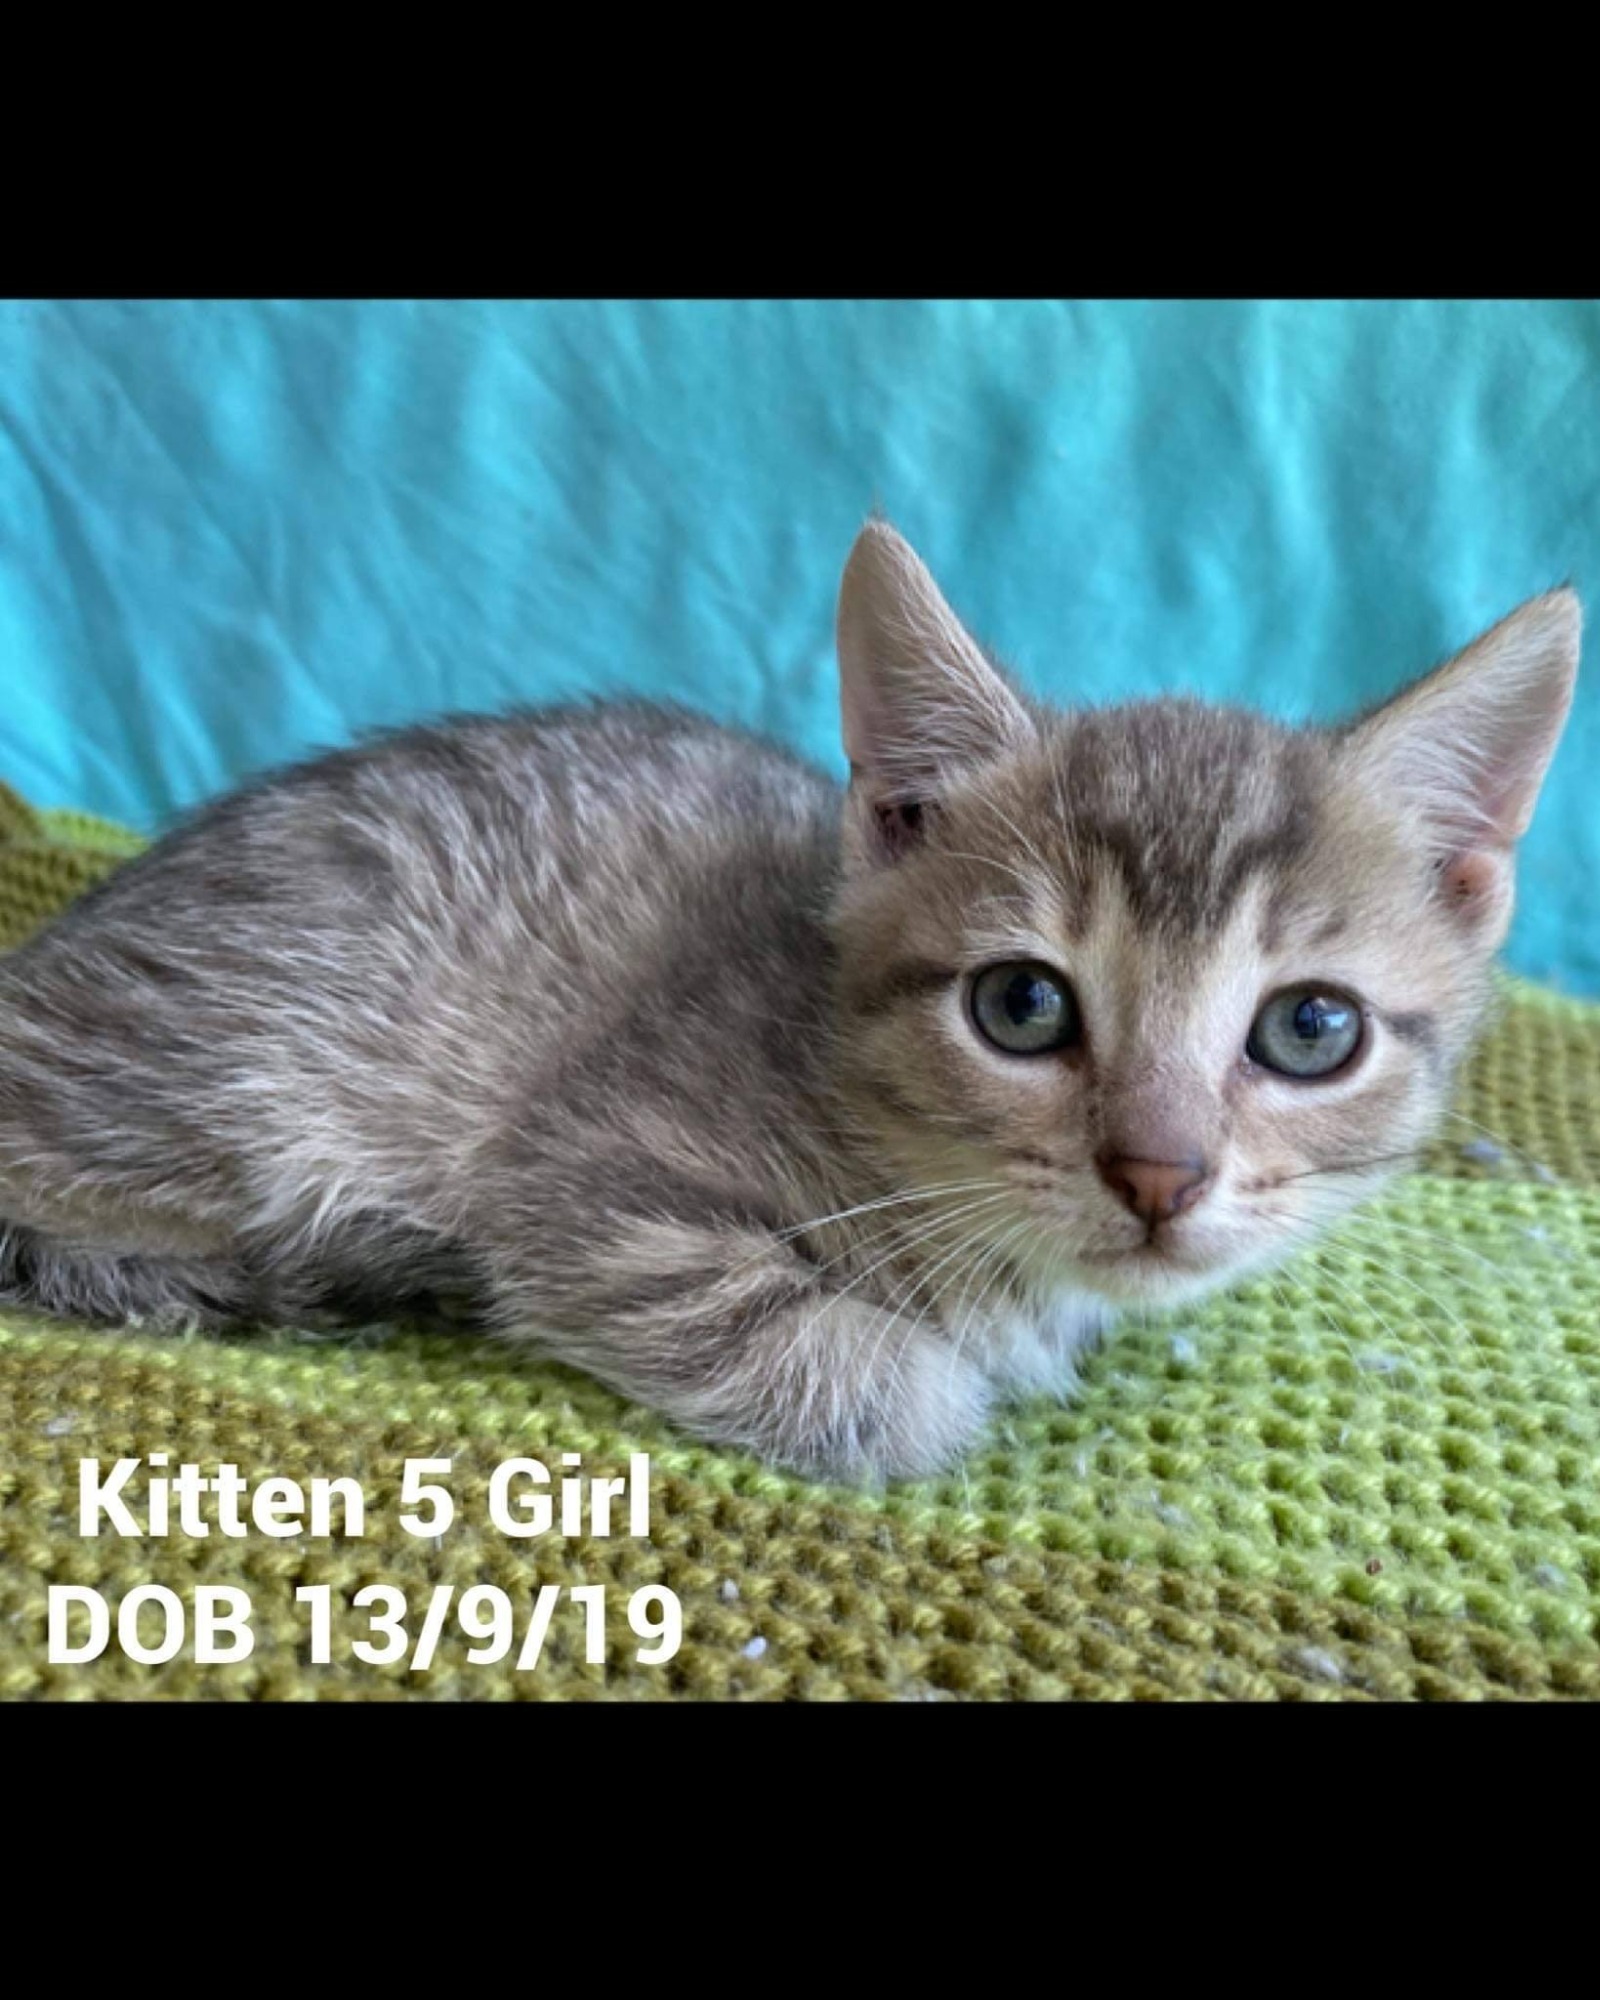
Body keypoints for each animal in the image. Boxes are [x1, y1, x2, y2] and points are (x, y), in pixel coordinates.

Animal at [0, 522, 1580, 1480]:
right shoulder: (591, 1192)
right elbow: (843, 1359)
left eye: (1310, 1029)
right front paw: (935, 1382)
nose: (1158, 1175)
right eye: (1022, 1004)